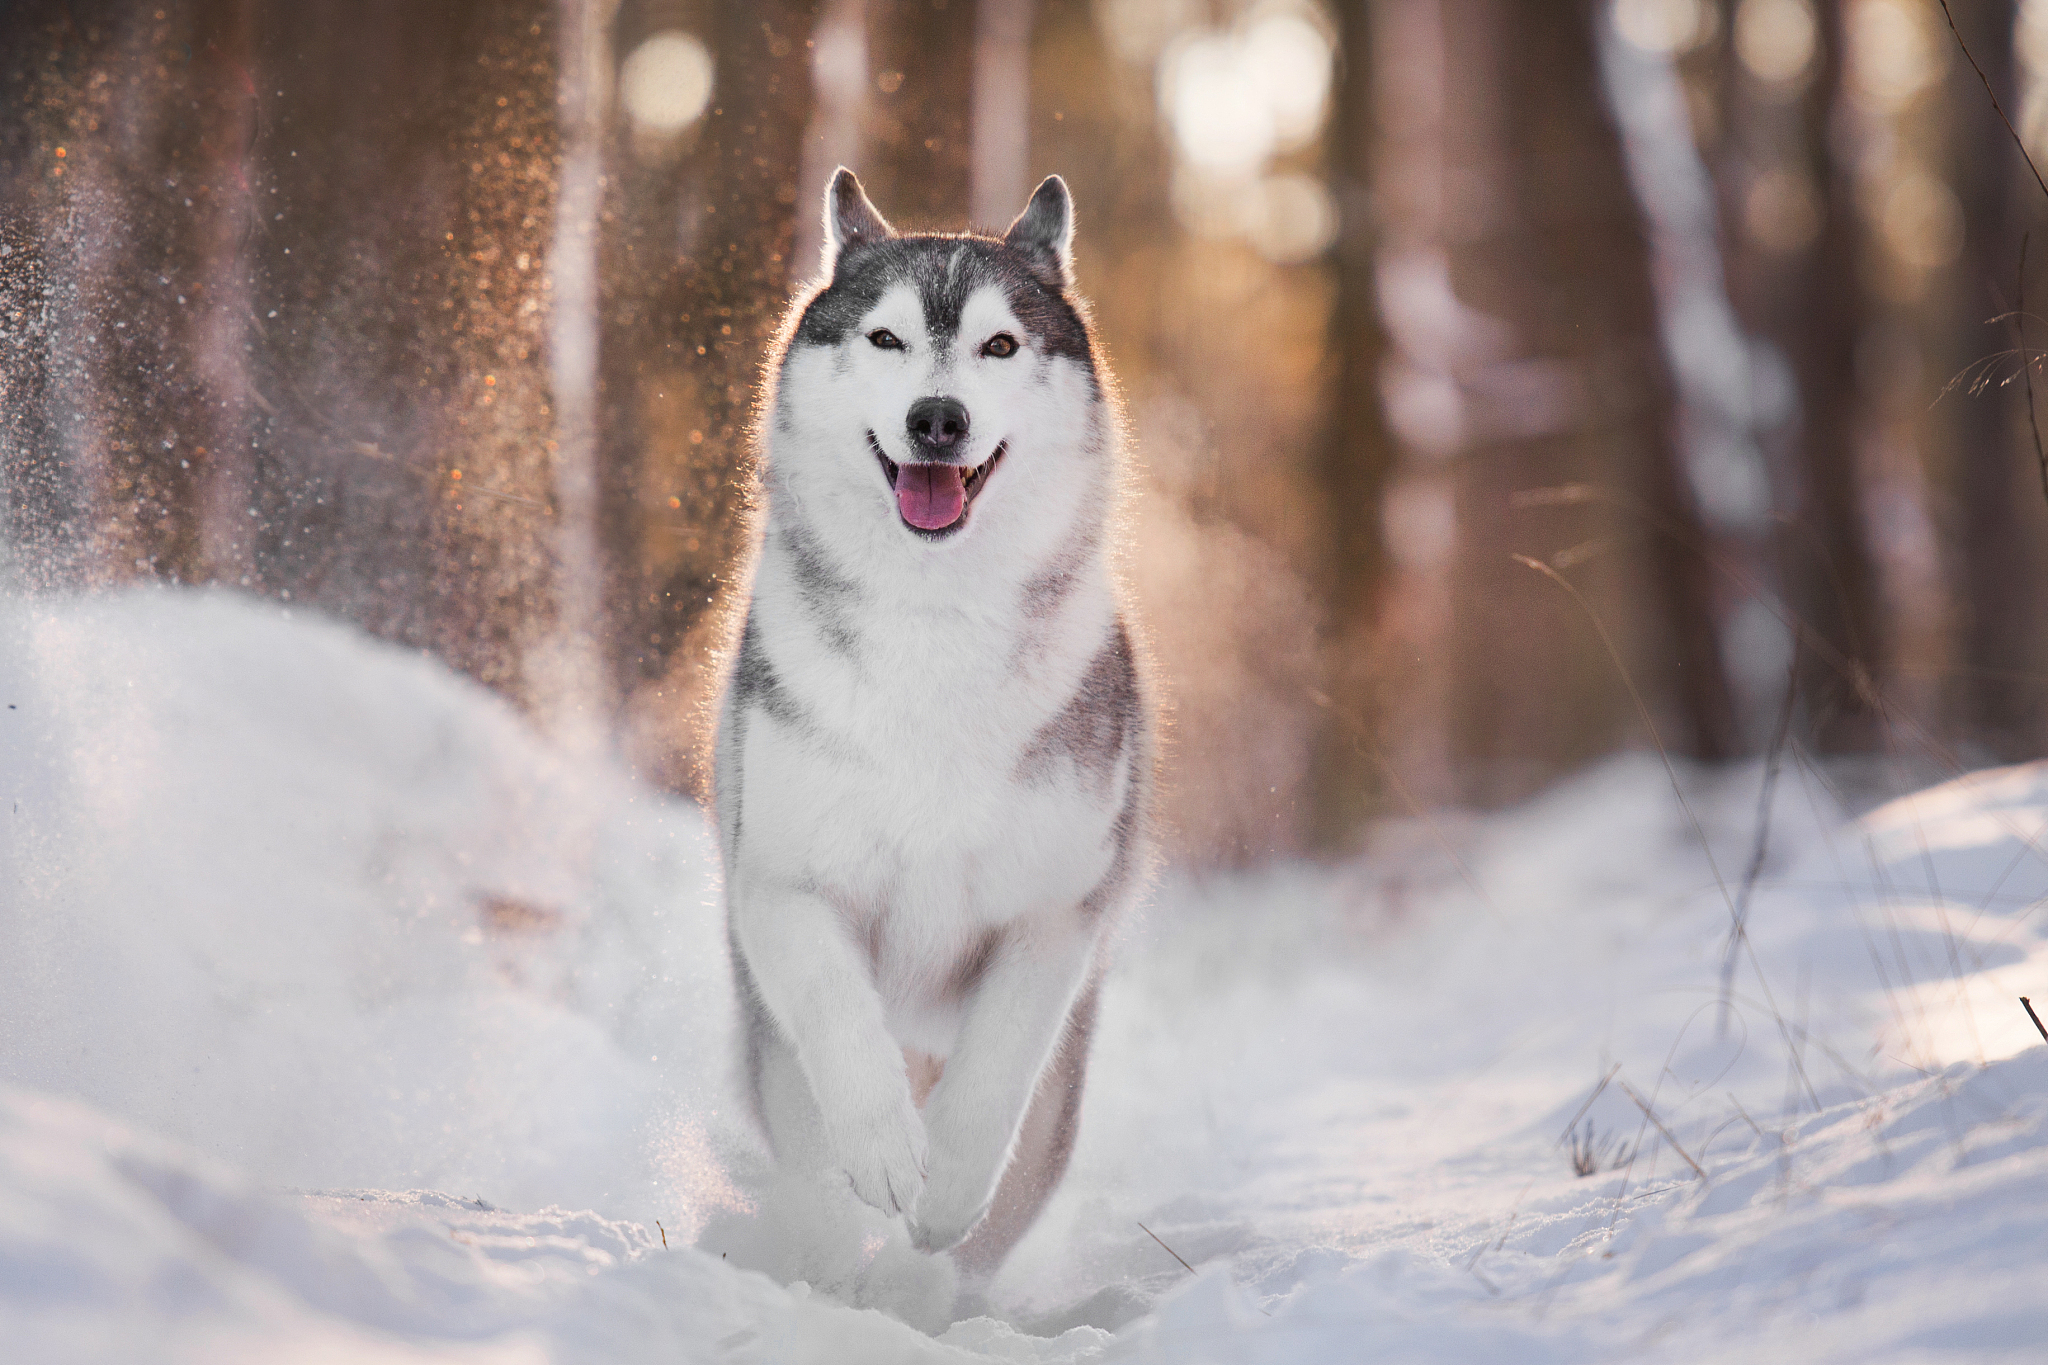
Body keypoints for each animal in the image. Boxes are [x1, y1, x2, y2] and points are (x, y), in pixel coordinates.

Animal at [712, 167, 1146, 1285]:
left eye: (999, 345)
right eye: (885, 339)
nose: (938, 419)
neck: (933, 621)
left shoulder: (1053, 911)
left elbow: (993, 1069)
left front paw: (942, 1185)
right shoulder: (781, 882)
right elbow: (836, 1015)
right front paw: (881, 1153)